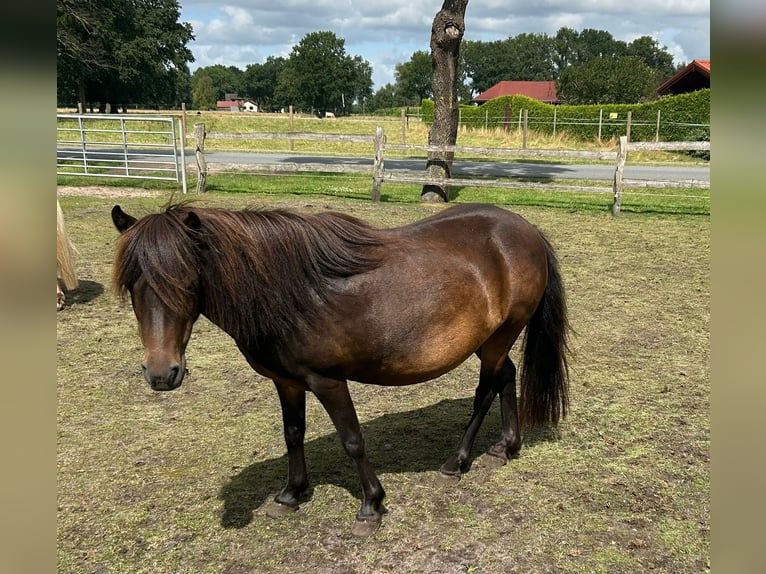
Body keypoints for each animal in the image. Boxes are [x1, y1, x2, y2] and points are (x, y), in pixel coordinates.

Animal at [112, 204, 568, 540]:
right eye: (132, 285)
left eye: (186, 282)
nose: (160, 373)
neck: (290, 293)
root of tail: (526, 230)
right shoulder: (287, 382)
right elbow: (293, 435)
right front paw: (291, 494)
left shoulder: (328, 381)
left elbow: (353, 441)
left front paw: (371, 506)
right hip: (487, 340)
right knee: (506, 376)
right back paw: (505, 448)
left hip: (500, 336)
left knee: (486, 390)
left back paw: (457, 462)